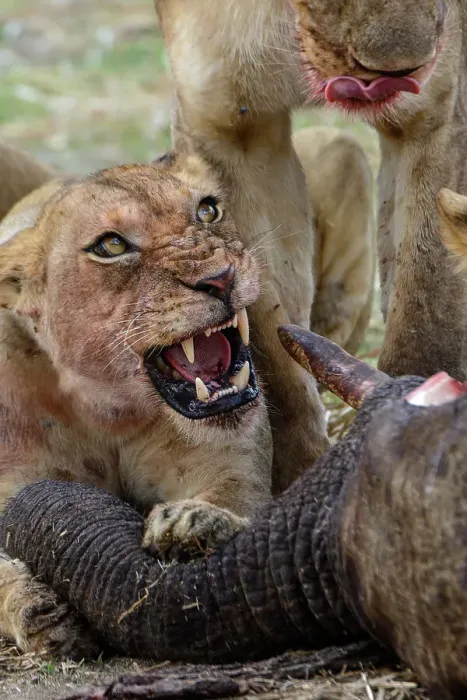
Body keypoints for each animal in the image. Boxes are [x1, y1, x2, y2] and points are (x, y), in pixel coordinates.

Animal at [0, 153, 273, 655]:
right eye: (111, 245)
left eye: (208, 210)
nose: (220, 278)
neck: (107, 411)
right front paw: (39, 610)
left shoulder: (229, 460)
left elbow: (233, 497)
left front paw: (194, 524)